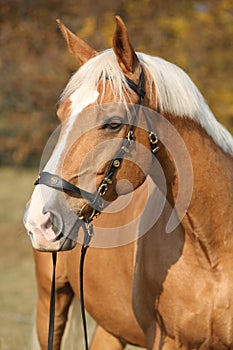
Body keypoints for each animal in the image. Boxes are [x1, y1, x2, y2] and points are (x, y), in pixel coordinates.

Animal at [24, 15, 233, 348]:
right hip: (51, 302)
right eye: (61, 115)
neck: (214, 246)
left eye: (113, 123)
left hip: (110, 327)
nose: (40, 222)